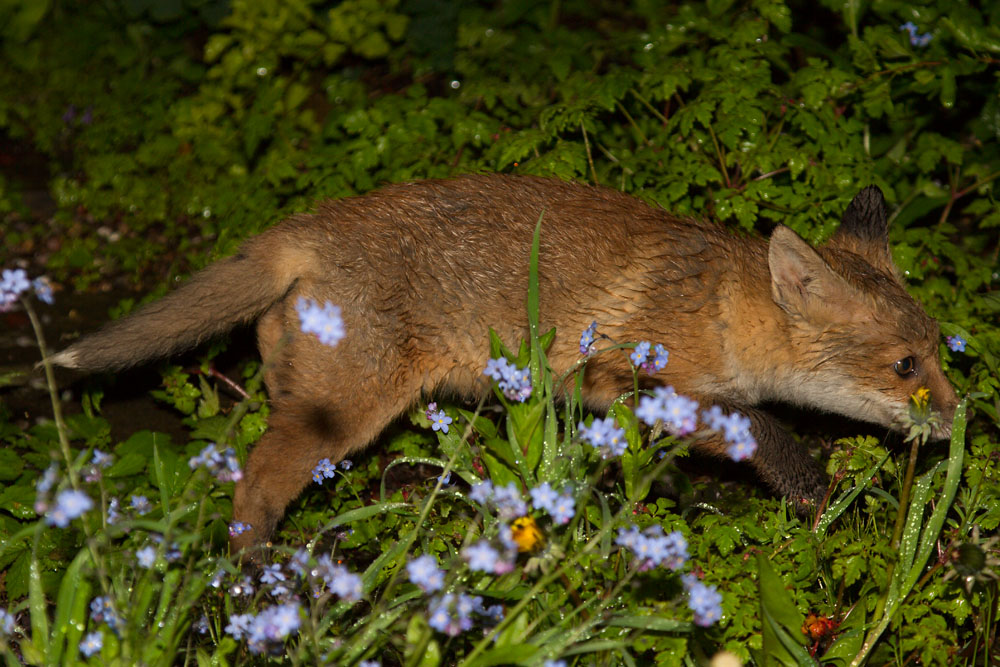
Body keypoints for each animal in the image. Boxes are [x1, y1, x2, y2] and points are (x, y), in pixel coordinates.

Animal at [48, 174, 959, 554]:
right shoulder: (623, 374)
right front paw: (813, 488)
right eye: (905, 362)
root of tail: (312, 223)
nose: (963, 417)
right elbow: (761, 426)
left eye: (939, 350)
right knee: (255, 484)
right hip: (341, 415)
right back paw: (251, 582)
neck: (721, 308)